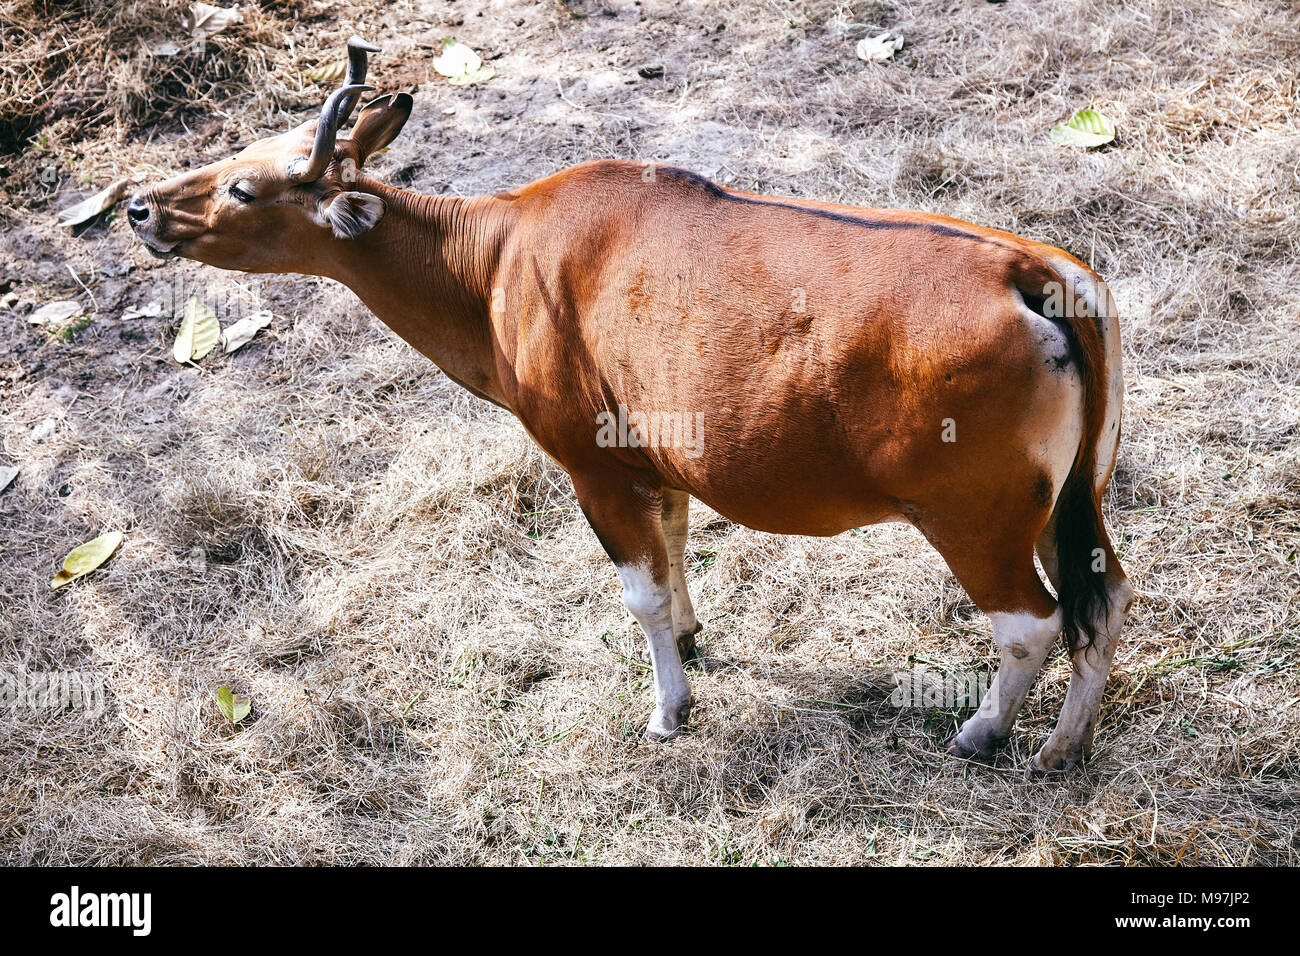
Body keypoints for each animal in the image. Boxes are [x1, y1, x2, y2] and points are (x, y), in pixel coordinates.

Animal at [126, 39, 1133, 770]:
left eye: (244, 186)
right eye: (239, 153)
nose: (140, 207)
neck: (493, 258)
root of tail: (1034, 274)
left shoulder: (592, 466)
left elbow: (639, 593)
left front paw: (668, 709)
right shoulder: (664, 459)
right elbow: (678, 544)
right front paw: (694, 637)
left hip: (975, 518)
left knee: (1034, 623)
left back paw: (985, 732)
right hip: (1069, 500)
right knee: (1108, 599)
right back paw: (1062, 747)